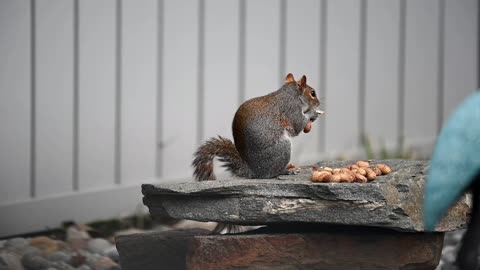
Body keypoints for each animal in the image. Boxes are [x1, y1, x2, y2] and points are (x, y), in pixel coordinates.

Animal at [193, 73, 324, 181]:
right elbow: (297, 125)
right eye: (312, 93)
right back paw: (285, 171)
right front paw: (313, 114)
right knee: (271, 173)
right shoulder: (291, 109)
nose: (319, 103)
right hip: (282, 148)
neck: (291, 93)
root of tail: (255, 172)